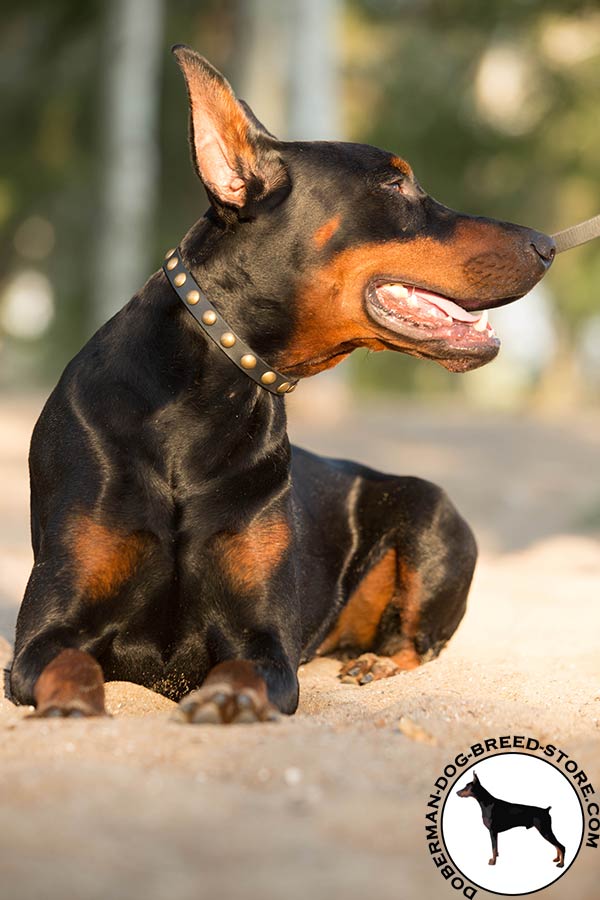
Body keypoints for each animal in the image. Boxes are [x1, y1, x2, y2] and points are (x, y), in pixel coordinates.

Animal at [7, 47, 556, 724]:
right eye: (394, 184)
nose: (548, 244)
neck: (201, 406)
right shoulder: (43, 632)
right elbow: (71, 662)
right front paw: (72, 705)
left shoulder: (262, 637)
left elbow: (245, 666)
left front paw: (225, 699)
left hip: (433, 513)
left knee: (417, 643)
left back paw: (373, 664)